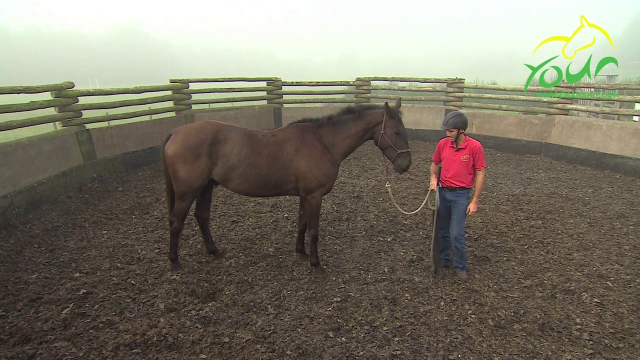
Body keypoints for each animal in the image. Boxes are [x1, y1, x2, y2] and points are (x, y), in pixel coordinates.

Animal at [159, 98, 410, 272]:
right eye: (397, 131)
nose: (406, 165)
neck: (323, 143)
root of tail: (175, 132)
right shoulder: (314, 196)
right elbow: (314, 230)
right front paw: (316, 264)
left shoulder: (305, 195)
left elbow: (302, 224)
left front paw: (301, 252)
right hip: (187, 192)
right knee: (176, 222)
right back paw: (174, 260)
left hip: (206, 187)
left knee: (201, 216)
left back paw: (213, 251)